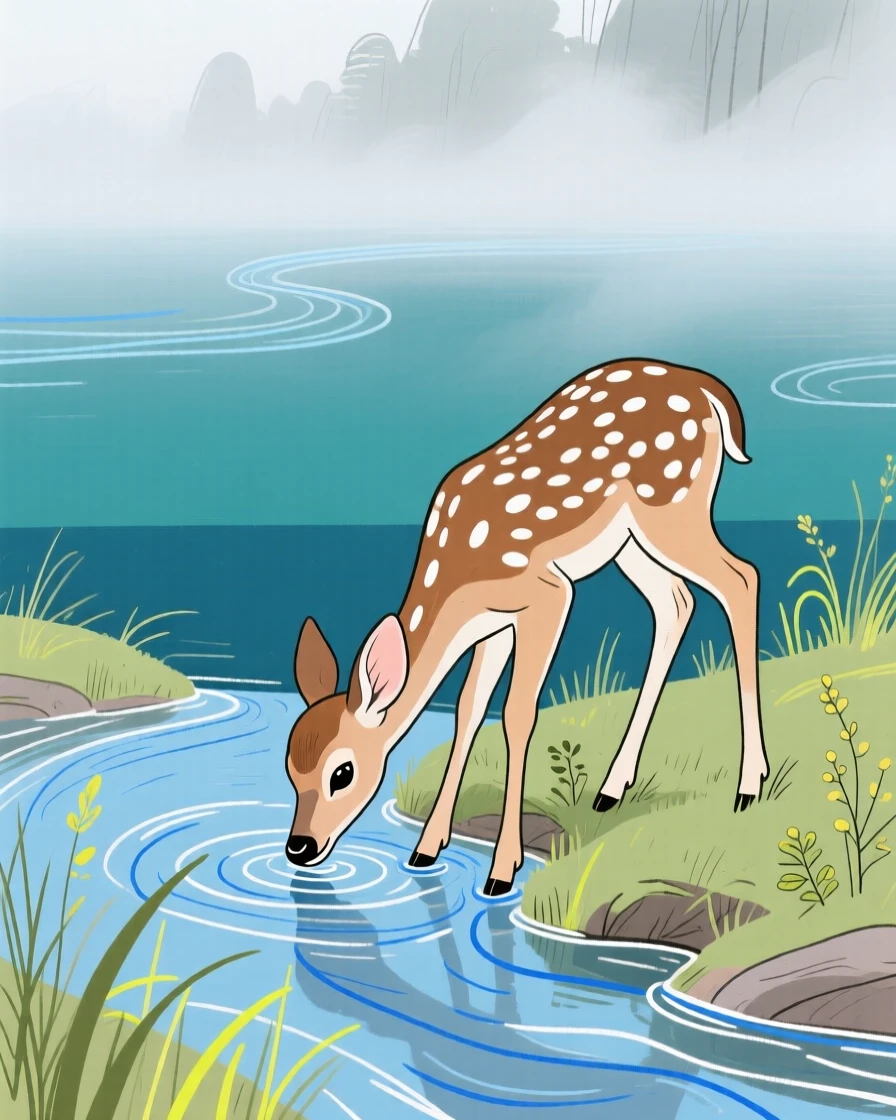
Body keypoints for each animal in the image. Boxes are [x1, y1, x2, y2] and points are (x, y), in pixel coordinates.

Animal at [284, 358, 769, 896]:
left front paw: (501, 871)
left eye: (342, 772)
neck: (457, 579)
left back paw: (749, 785)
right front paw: (426, 849)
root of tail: (707, 389)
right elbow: (469, 711)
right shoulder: (493, 625)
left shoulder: (547, 593)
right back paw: (611, 789)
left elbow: (518, 713)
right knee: (676, 603)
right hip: (630, 541)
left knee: (741, 578)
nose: (298, 847)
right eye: (289, 768)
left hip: (671, 506)